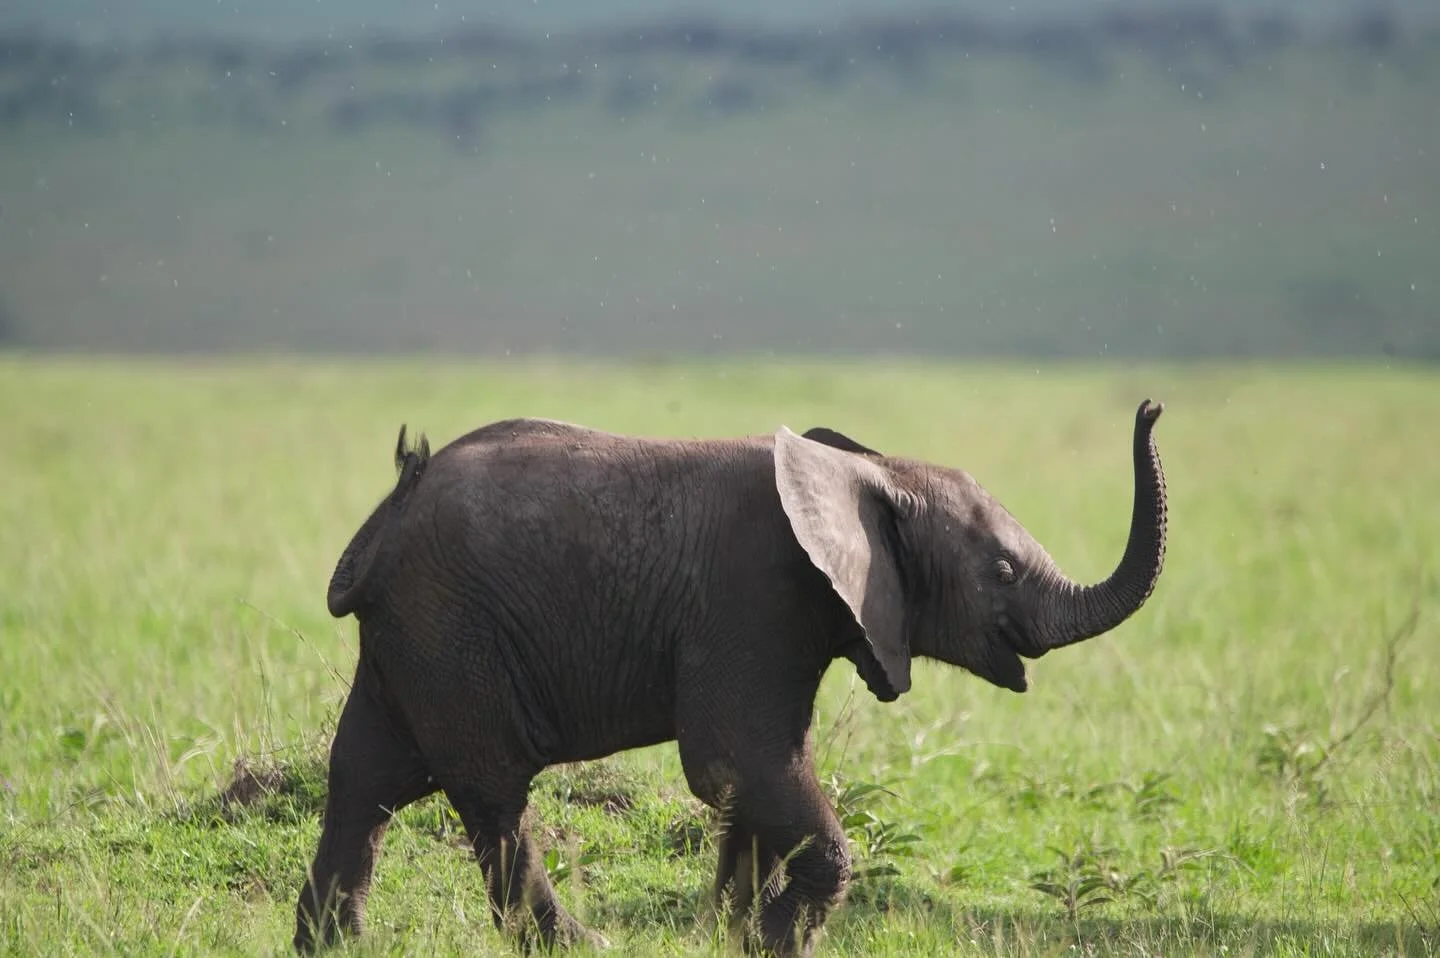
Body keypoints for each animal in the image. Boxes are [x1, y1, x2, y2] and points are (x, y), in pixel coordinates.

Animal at [293, 399, 1168, 957]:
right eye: (1004, 571)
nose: (1151, 408)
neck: (870, 471)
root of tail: (385, 521)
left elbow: (759, 777)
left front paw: (727, 936)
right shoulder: (755, 596)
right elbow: (734, 761)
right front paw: (774, 943)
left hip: (413, 638)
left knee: (364, 780)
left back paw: (333, 946)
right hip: (451, 627)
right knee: (490, 793)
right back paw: (578, 943)